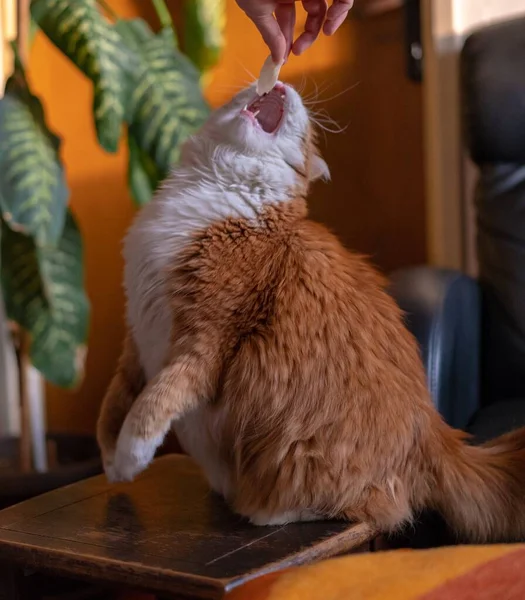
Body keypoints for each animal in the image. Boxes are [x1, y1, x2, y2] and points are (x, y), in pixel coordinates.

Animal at [97, 83, 524, 540]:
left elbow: (151, 406)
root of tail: (436, 431)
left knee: (378, 508)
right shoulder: (138, 337)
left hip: (301, 449)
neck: (210, 188)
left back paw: (263, 509)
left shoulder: (205, 341)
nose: (282, 84)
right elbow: (113, 405)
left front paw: (131, 457)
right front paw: (110, 462)